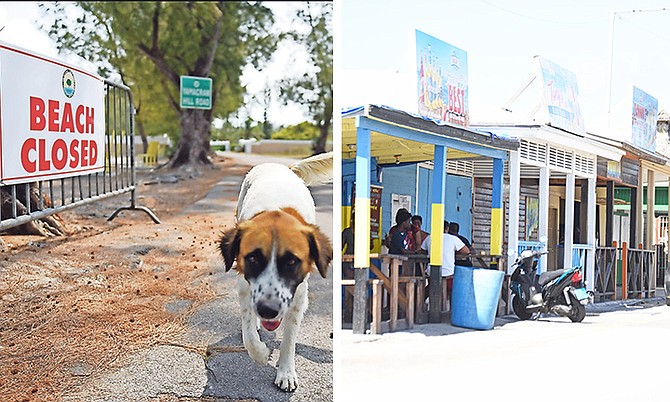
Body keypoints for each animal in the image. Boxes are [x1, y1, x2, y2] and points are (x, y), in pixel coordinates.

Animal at [220, 152, 334, 392]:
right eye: (253, 258)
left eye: (291, 261)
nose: (268, 310)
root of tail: (282, 167)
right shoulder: (244, 286)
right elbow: (248, 333)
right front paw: (261, 353)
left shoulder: (299, 297)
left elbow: (289, 339)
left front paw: (286, 372)